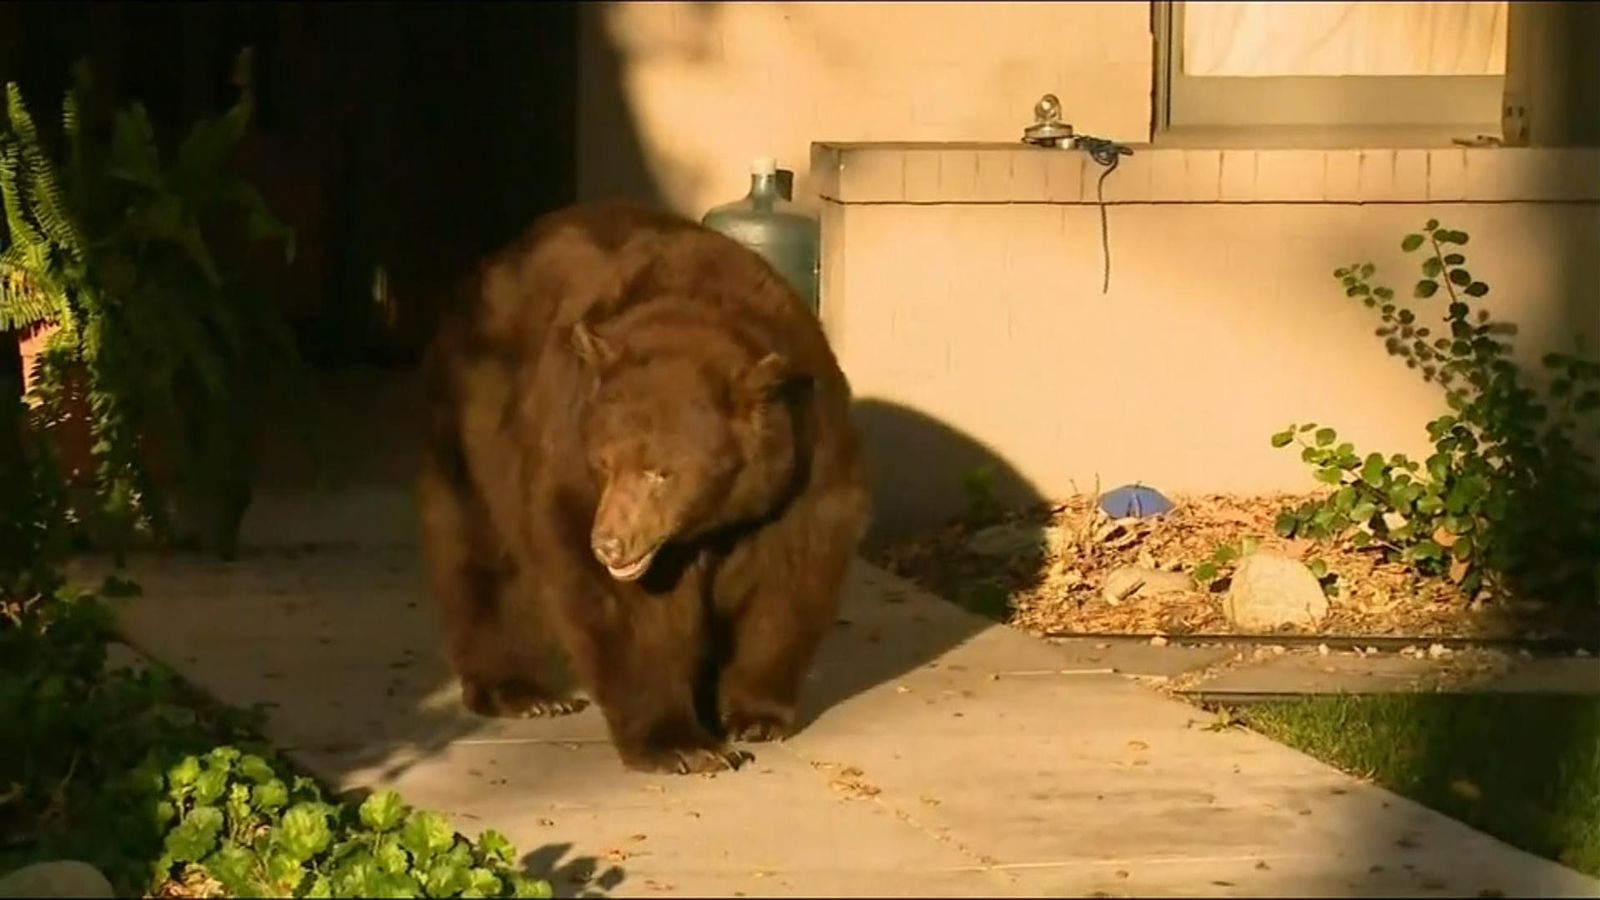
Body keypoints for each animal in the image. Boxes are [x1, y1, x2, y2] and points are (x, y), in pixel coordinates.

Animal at [412, 197, 864, 771]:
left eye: (661, 472)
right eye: (605, 463)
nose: (610, 544)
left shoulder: (803, 464)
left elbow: (789, 577)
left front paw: (754, 717)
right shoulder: (571, 461)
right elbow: (628, 611)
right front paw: (683, 744)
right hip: (477, 421)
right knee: (482, 554)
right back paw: (524, 692)